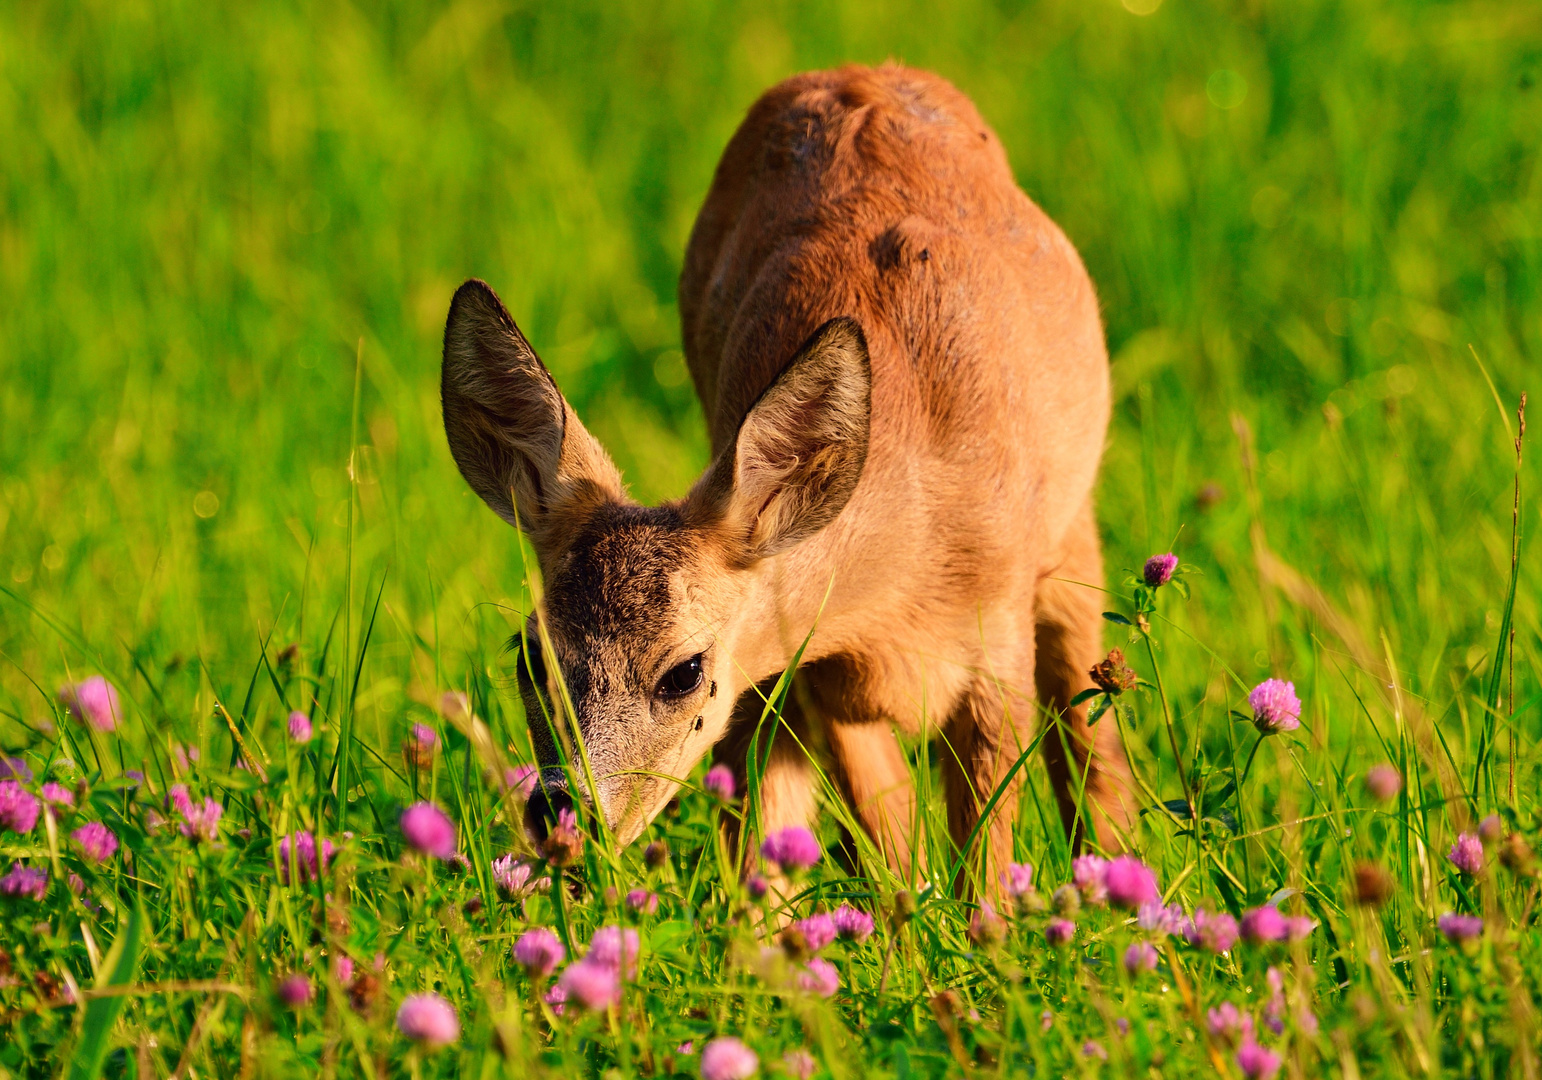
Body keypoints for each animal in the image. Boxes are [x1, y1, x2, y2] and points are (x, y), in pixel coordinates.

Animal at [441, 63, 1141, 901]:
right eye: (529, 652)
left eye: (683, 671)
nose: (561, 816)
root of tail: (862, 70)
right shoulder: (814, 668)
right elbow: (879, 841)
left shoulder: (996, 646)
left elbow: (982, 859)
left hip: (1071, 542)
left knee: (1089, 730)